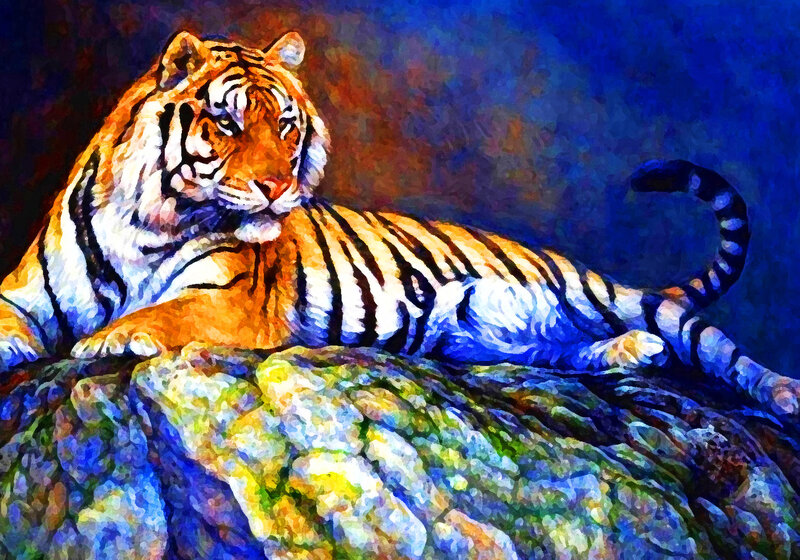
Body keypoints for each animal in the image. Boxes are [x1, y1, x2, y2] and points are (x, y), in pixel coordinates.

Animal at [0, 30, 797, 418]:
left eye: (285, 125)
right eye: (226, 122)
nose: (278, 186)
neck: (151, 221)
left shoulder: (231, 303)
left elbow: (166, 312)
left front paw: (107, 337)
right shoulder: (23, 297)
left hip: (604, 294)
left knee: (714, 347)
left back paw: (777, 391)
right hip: (493, 340)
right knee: (566, 352)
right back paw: (630, 352)